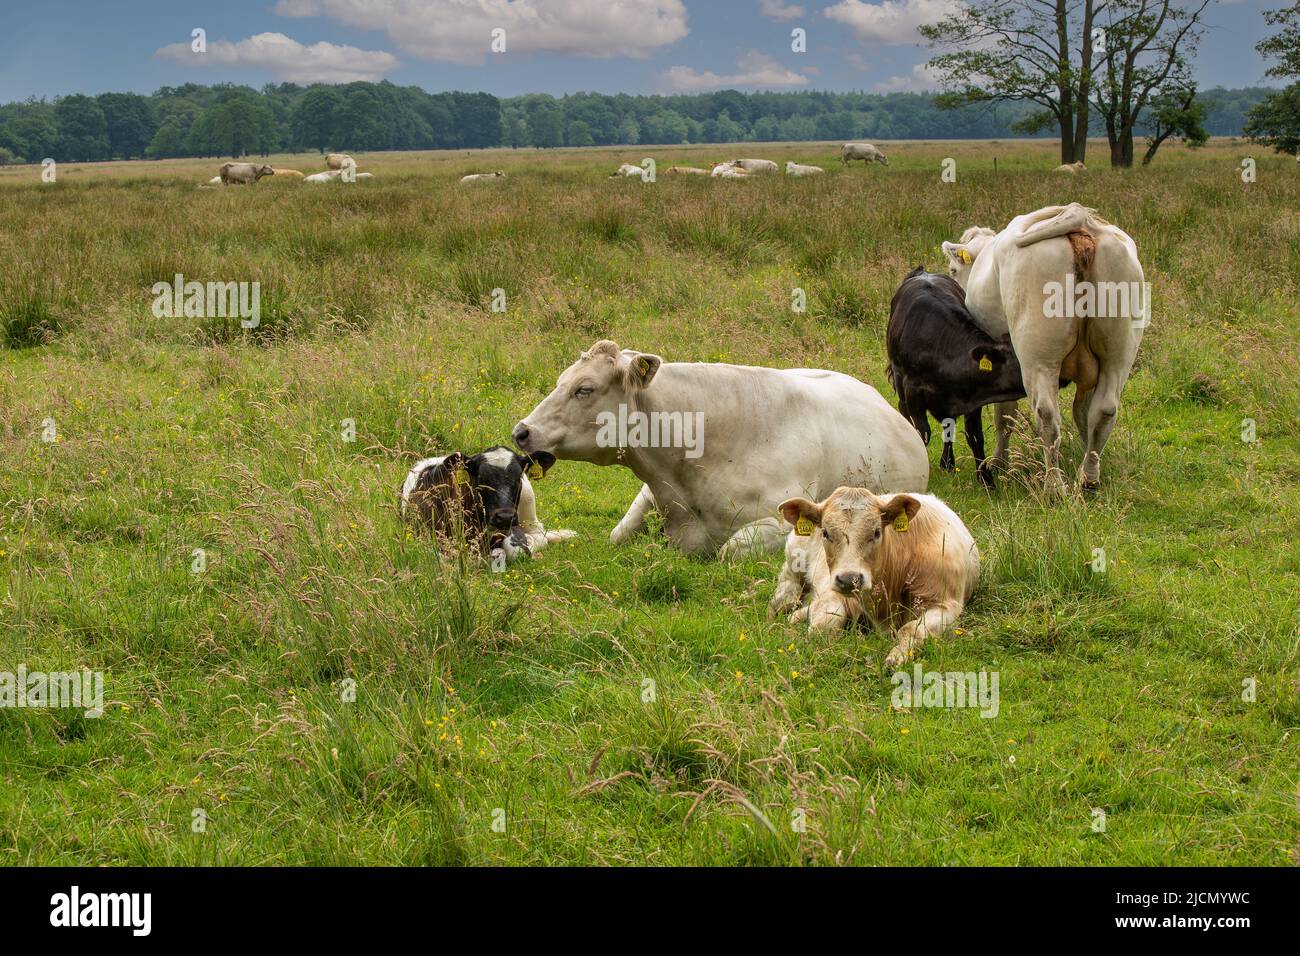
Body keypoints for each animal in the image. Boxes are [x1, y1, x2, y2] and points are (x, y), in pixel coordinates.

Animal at [764, 489, 977, 671]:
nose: (849, 579)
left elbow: (910, 629)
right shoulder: (832, 592)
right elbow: (824, 625)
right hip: (794, 561)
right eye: (825, 532)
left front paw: (897, 656)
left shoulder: (945, 605)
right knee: (785, 591)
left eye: (876, 532)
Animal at [946, 202, 1149, 494]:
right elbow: (1082, 414)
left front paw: (999, 462)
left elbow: (1005, 416)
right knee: (1104, 410)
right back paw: (1088, 477)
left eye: (952, 270)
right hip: (1118, 355)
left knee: (1047, 415)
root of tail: (1078, 216)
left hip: (1037, 358)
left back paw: (1053, 487)